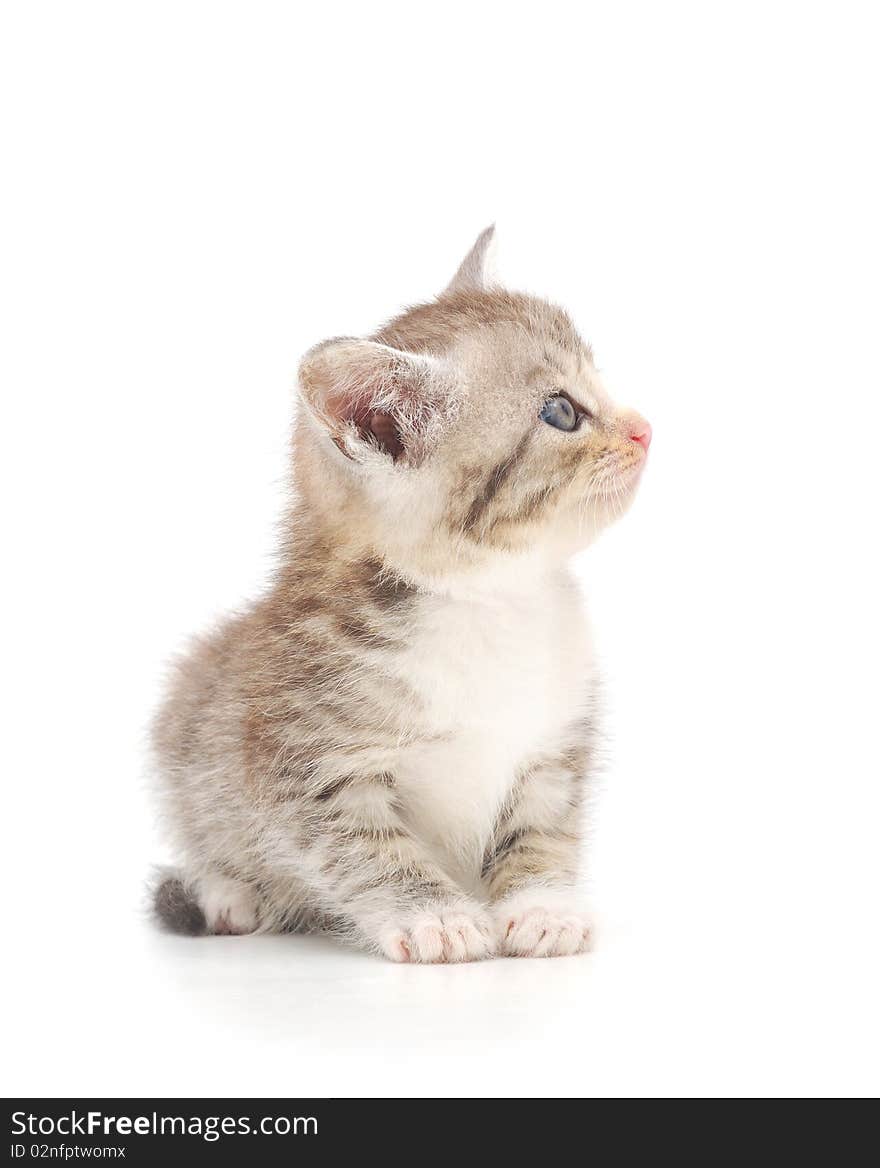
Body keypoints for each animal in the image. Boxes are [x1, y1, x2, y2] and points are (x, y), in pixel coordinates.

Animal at [150, 225, 649, 957]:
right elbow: (367, 849)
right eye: (561, 412)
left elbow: (543, 831)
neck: (490, 602)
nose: (645, 428)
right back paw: (228, 894)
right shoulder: (302, 762)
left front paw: (541, 905)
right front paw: (432, 916)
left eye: (599, 380)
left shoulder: (554, 746)